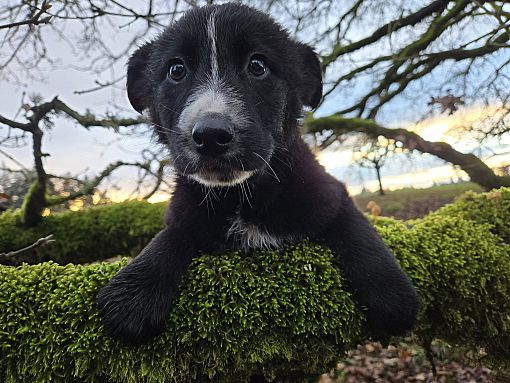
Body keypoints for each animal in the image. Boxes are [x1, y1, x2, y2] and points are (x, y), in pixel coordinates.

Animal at [97, 1, 420, 346]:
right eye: (176, 70)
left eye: (257, 66)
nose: (211, 135)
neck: (243, 197)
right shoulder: (185, 210)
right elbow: (171, 235)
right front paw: (135, 292)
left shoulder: (329, 194)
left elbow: (358, 230)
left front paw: (392, 294)